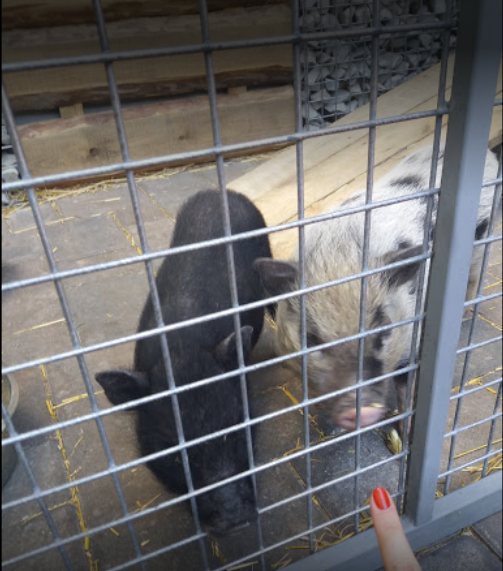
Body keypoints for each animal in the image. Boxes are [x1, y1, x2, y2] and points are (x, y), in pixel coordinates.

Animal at [254, 143, 499, 433]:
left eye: (383, 327)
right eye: (311, 338)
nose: (361, 410)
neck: (339, 255)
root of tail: (490, 155)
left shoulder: (410, 340)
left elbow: (405, 388)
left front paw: (403, 431)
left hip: (482, 242)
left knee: (474, 277)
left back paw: (465, 313)